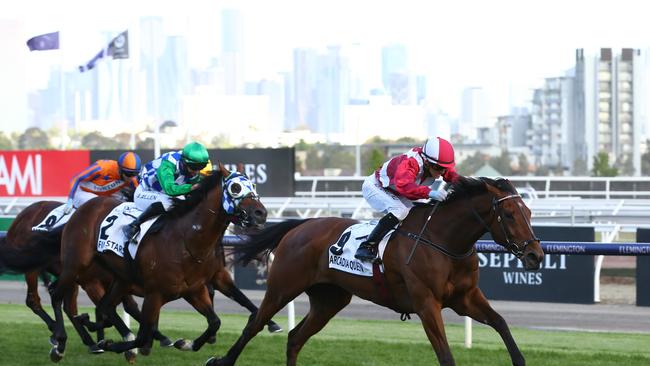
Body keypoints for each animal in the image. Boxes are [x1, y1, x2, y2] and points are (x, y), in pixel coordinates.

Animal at [48, 164, 268, 362]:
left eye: (253, 185)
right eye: (235, 188)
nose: (261, 213)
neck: (187, 240)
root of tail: (82, 208)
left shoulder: (194, 289)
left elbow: (215, 321)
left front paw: (186, 343)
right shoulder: (155, 294)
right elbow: (143, 335)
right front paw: (115, 345)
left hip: (120, 278)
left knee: (105, 306)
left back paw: (90, 326)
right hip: (75, 266)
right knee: (57, 295)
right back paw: (60, 343)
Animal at [208, 177, 540, 366]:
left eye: (529, 212)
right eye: (509, 214)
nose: (535, 255)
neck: (443, 240)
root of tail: (299, 227)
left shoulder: (465, 298)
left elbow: (501, 323)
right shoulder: (426, 303)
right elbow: (446, 356)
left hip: (329, 300)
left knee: (294, 338)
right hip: (282, 287)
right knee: (254, 325)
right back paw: (220, 360)